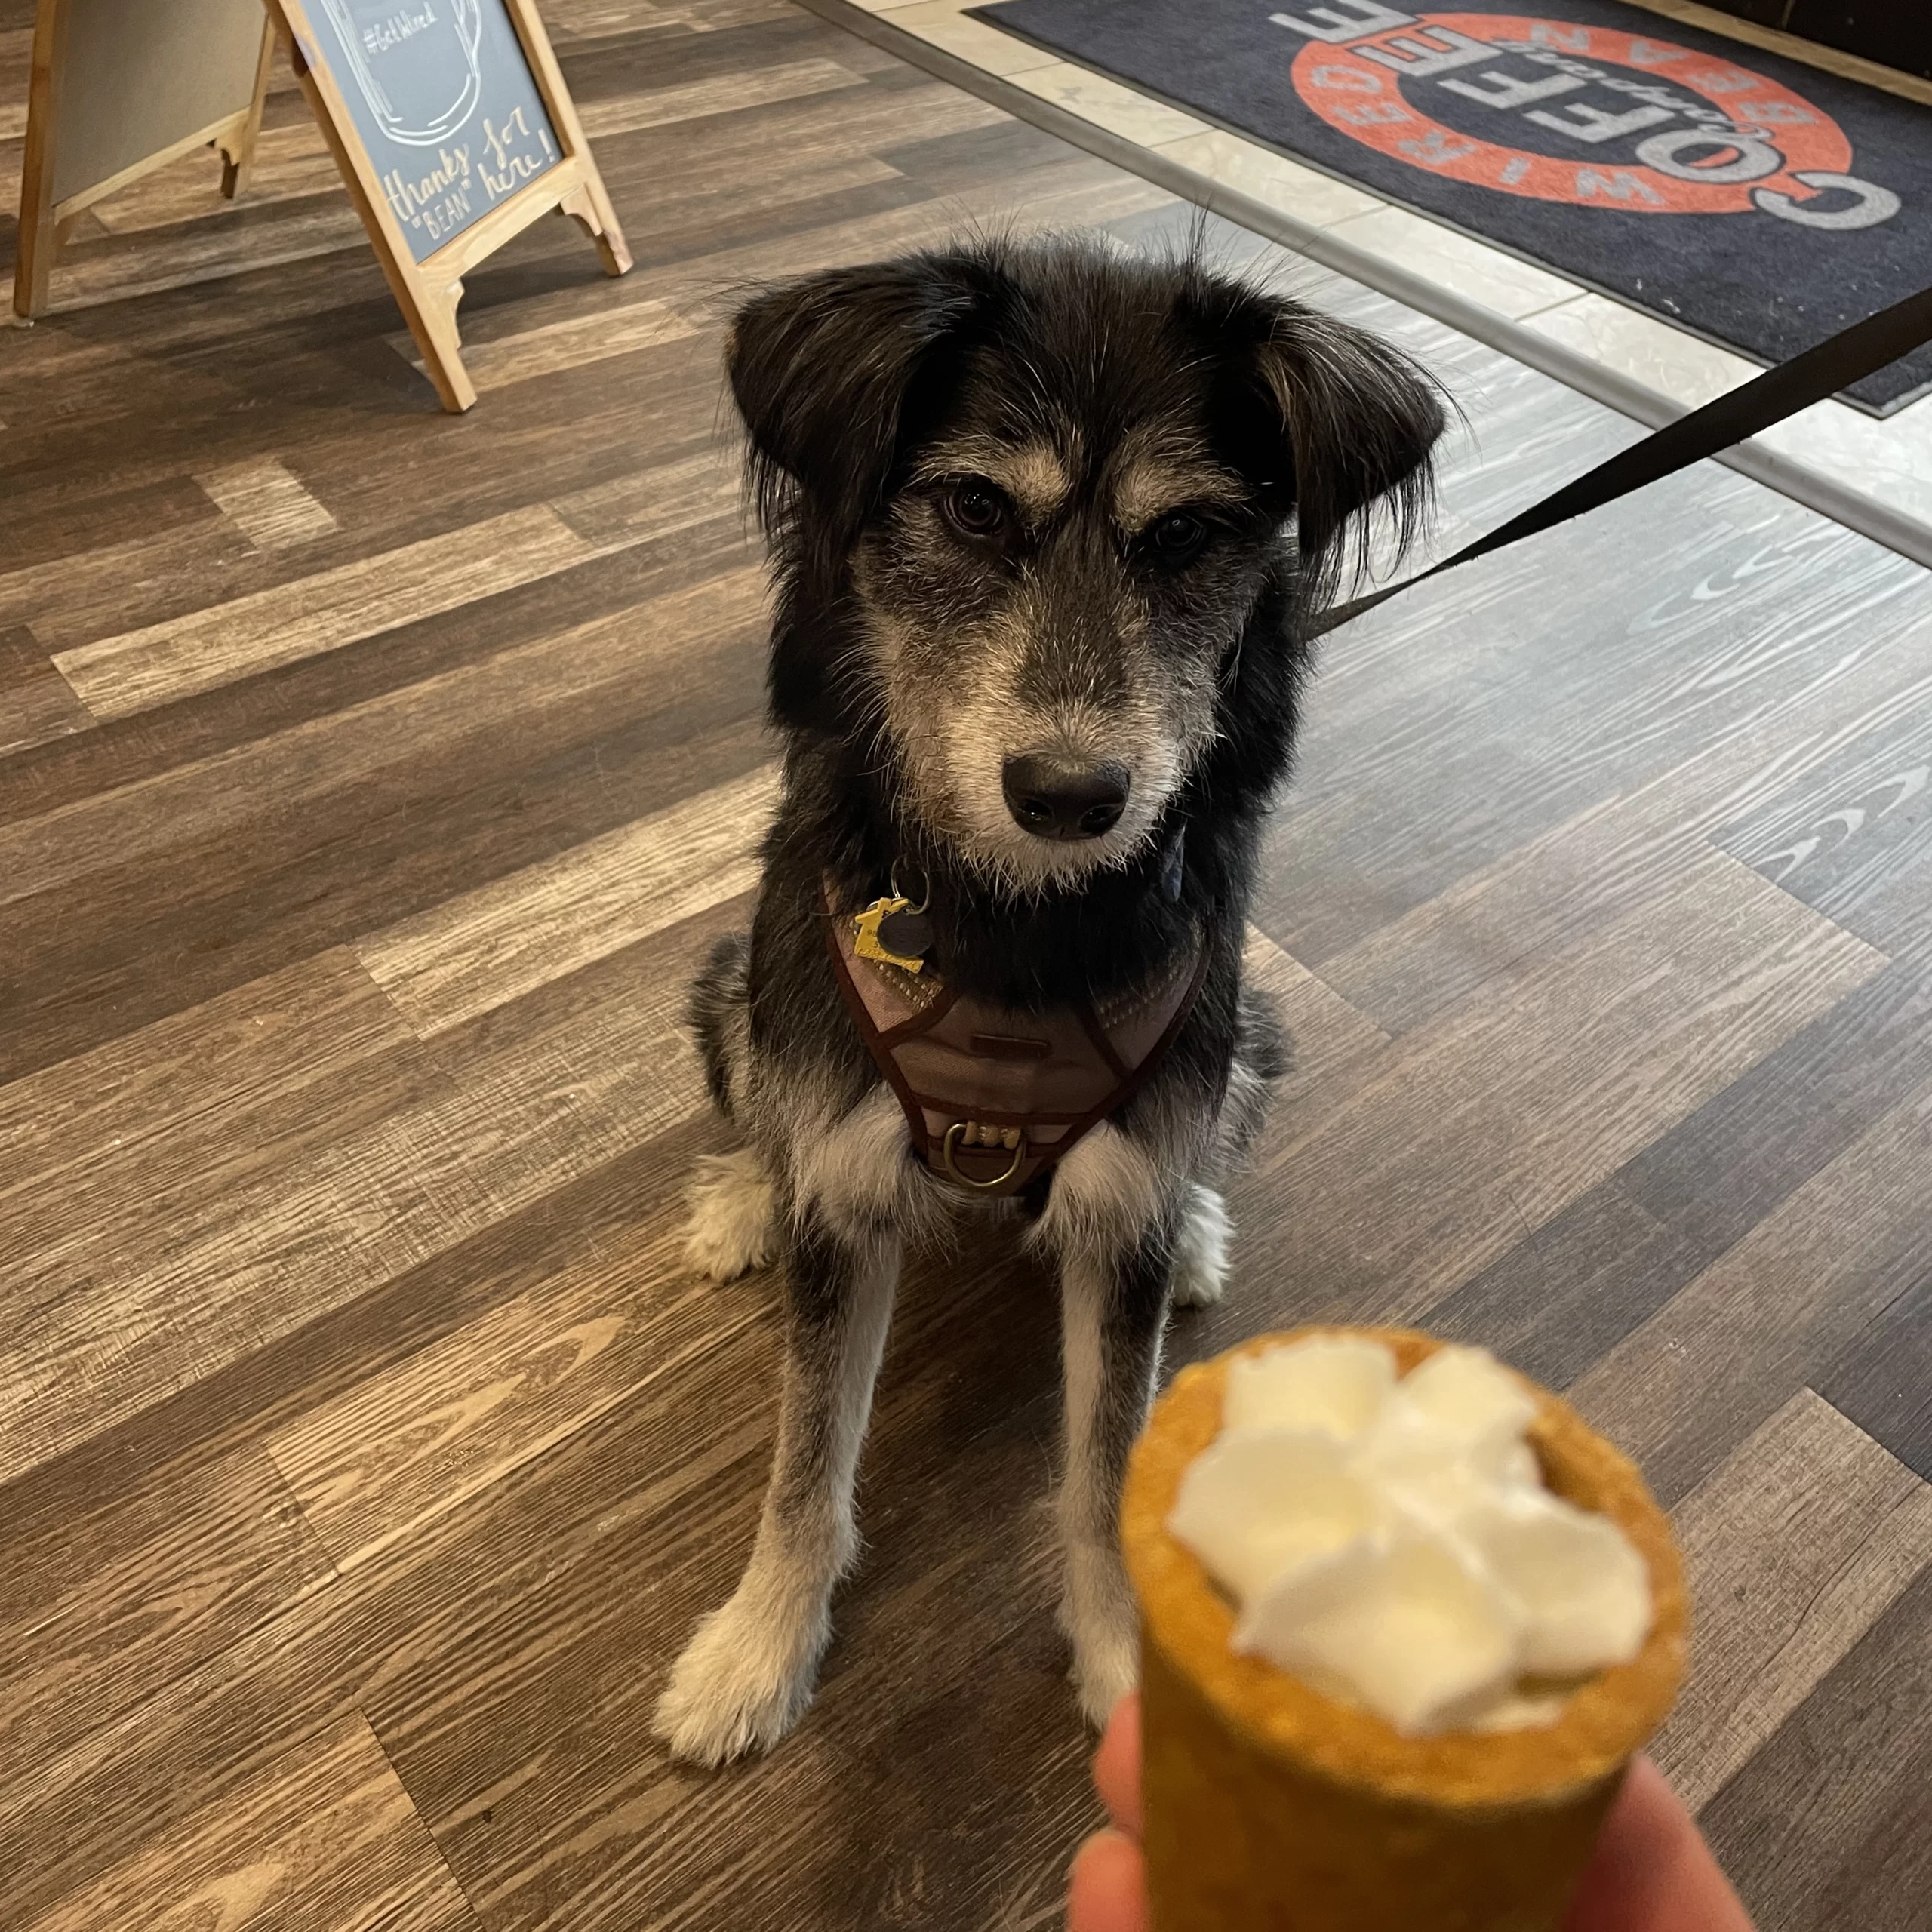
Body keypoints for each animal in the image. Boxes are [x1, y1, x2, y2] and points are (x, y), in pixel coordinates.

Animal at [657, 229, 1444, 1769]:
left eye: (1187, 536)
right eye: (972, 507)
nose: (1073, 797)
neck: (1017, 926)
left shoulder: (1124, 1181)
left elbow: (1103, 1466)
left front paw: (1129, 1664)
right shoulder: (847, 1171)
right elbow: (802, 1460)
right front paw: (756, 1651)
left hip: (1244, 1041)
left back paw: (1200, 1228)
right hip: (736, 994)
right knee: (755, 1115)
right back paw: (739, 1204)